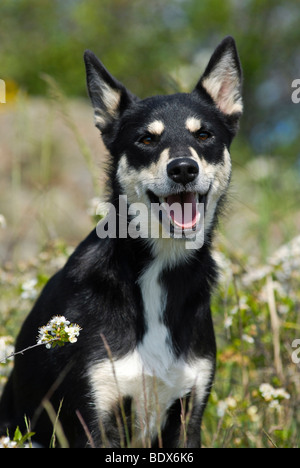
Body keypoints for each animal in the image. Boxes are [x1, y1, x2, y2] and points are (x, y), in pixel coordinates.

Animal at [0, 35, 243, 446]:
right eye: (146, 139)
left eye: (204, 135)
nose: (183, 169)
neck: (155, 272)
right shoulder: (94, 415)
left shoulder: (188, 414)